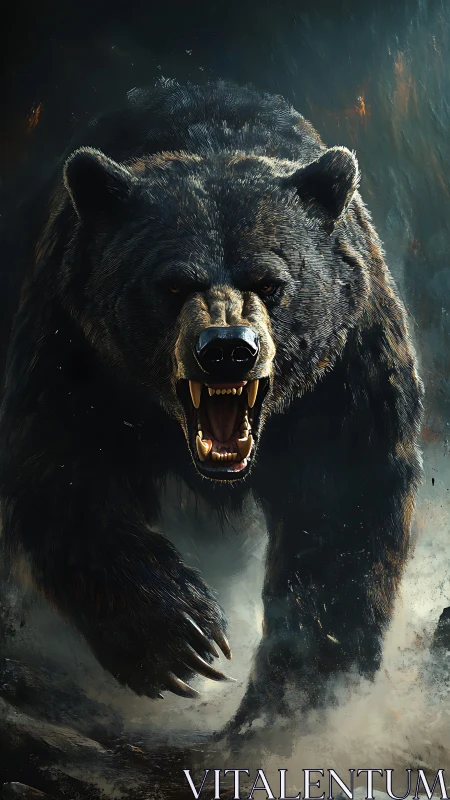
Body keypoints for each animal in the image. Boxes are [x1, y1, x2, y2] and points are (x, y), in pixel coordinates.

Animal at [0, 79, 423, 734]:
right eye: (173, 283)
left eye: (271, 281)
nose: (227, 349)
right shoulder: (73, 347)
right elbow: (63, 471)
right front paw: (183, 637)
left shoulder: (345, 370)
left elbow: (342, 506)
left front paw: (299, 696)